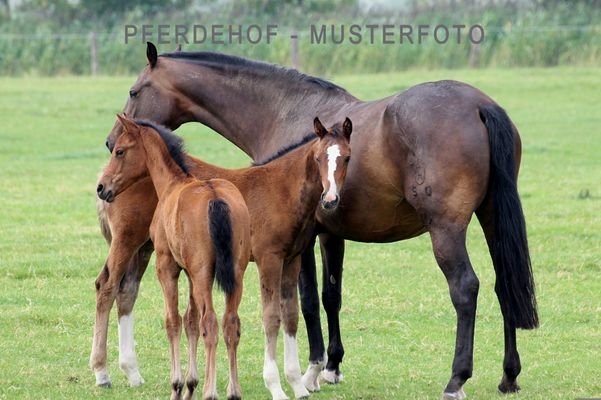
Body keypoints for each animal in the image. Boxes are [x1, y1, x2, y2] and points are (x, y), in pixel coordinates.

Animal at [96, 113, 251, 400]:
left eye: (120, 151)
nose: (102, 187)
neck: (173, 183)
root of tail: (216, 198)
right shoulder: (189, 272)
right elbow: (190, 320)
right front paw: (191, 383)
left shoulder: (167, 266)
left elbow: (173, 321)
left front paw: (177, 385)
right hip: (235, 274)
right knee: (230, 324)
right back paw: (233, 392)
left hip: (203, 274)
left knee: (211, 323)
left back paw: (211, 391)